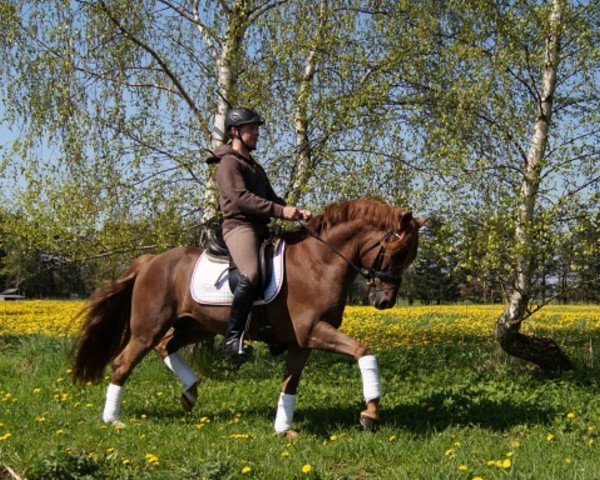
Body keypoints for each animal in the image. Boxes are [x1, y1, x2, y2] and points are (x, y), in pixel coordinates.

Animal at [72, 197, 424, 436]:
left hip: (196, 326)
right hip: (149, 327)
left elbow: (289, 384)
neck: (319, 262)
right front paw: (371, 413)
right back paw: (113, 420)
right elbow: (364, 351)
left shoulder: (302, 342)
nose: (384, 302)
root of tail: (151, 261)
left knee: (166, 347)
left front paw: (284, 429)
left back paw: (190, 393)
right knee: (123, 363)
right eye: (398, 254)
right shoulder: (313, 331)